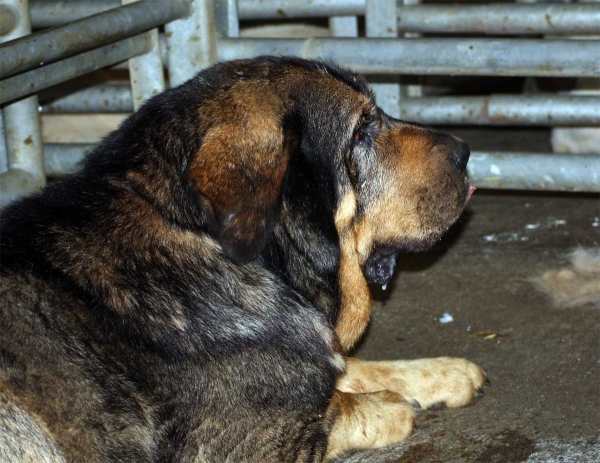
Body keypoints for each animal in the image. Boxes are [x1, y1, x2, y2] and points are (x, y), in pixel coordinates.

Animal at [0, 56, 486, 462]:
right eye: (360, 133)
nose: (466, 152)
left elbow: (353, 367)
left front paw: (439, 372)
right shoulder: (250, 448)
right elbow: (341, 405)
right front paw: (389, 404)